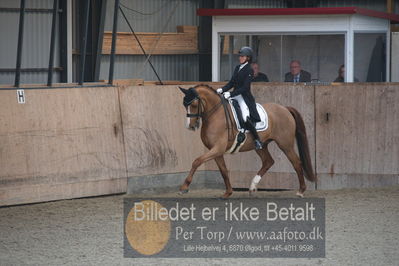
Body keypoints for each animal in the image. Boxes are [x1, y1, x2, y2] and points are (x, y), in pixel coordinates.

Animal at [178, 84, 316, 198]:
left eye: (194, 105)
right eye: (184, 105)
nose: (190, 126)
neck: (216, 114)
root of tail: (285, 108)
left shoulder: (218, 148)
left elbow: (197, 161)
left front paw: (184, 187)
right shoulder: (216, 151)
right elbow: (223, 170)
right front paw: (228, 193)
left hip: (285, 144)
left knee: (296, 163)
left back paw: (301, 191)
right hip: (261, 146)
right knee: (268, 161)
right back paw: (252, 187)